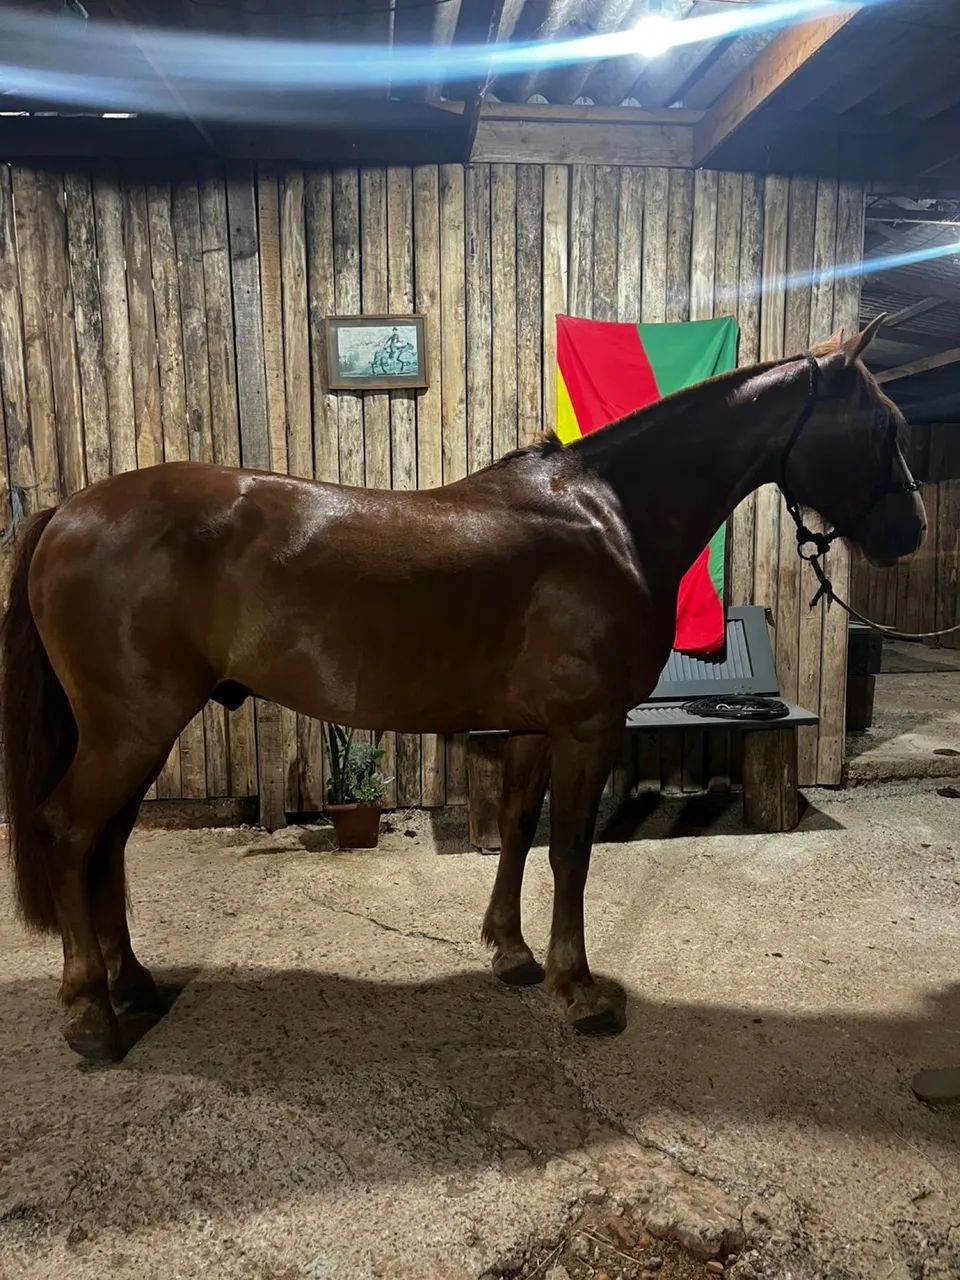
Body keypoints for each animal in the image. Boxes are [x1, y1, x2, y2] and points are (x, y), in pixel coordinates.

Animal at [1, 316, 925, 1063]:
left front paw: (511, 955)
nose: (909, 531)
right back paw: (90, 1014)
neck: (611, 519)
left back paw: (133, 983)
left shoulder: (529, 729)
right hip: (131, 729)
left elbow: (517, 830)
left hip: (133, 733)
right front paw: (576, 989)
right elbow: (571, 848)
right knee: (72, 832)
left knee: (108, 843)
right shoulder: (588, 726)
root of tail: (66, 511)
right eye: (883, 426)